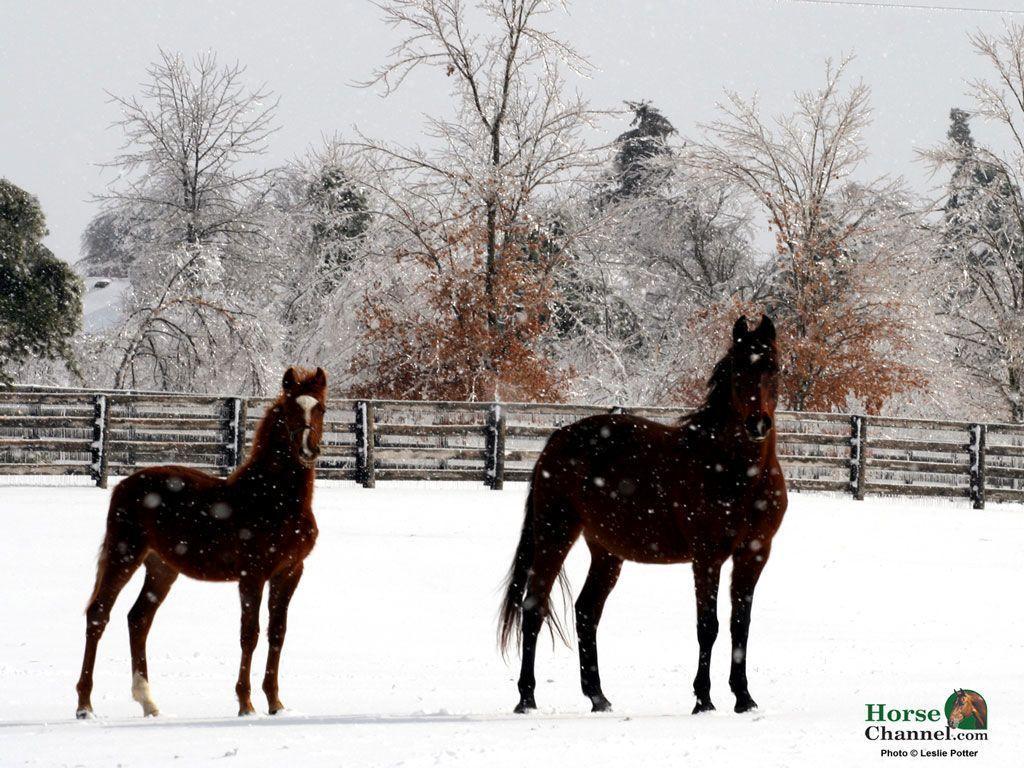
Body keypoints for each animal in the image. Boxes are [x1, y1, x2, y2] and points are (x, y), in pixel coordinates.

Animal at [75, 366, 327, 719]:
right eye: (290, 409)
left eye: (321, 408)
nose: (308, 450)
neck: (273, 499)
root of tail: (122, 486)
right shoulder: (252, 575)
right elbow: (249, 634)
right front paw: (246, 704)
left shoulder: (289, 572)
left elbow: (277, 633)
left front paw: (275, 703)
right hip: (124, 555)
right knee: (99, 614)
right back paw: (85, 705)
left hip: (161, 568)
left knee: (138, 619)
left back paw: (148, 703)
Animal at [499, 314, 786, 715]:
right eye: (737, 370)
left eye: (773, 366)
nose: (757, 424)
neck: (735, 472)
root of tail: (557, 439)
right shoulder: (707, 557)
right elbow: (707, 626)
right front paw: (703, 700)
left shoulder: (754, 553)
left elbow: (739, 625)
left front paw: (744, 698)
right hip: (555, 534)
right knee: (534, 607)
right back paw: (526, 698)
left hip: (605, 550)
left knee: (586, 612)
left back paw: (598, 697)